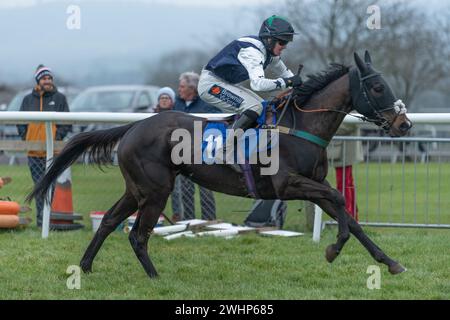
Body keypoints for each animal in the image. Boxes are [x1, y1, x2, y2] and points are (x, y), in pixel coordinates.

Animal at [28, 52, 412, 278]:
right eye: (378, 86)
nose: (404, 124)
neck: (301, 125)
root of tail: (134, 126)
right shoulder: (289, 184)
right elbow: (341, 201)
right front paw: (333, 249)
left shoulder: (313, 186)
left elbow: (349, 215)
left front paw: (390, 262)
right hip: (155, 190)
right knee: (137, 234)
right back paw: (154, 277)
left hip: (137, 189)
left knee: (108, 221)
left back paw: (85, 266)